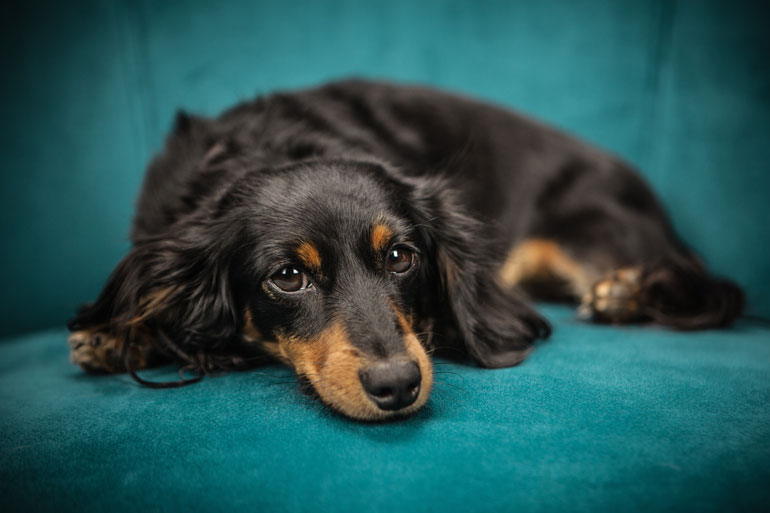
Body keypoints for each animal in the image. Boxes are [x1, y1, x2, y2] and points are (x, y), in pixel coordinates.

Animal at [68, 79, 744, 420]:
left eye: (400, 257)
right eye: (287, 276)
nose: (397, 385)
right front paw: (117, 333)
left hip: (589, 230)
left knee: (713, 290)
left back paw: (627, 292)